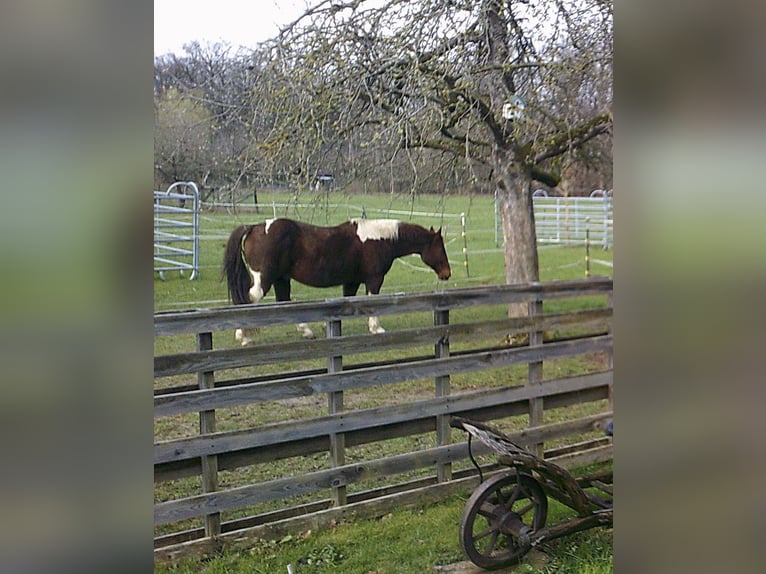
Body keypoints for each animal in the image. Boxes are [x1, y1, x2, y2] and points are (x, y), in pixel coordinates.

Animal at [222, 217, 451, 344]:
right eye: (440, 247)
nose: (447, 273)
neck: (380, 238)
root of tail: (254, 227)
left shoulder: (352, 281)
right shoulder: (374, 279)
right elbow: (372, 303)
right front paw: (376, 328)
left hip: (281, 279)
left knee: (284, 302)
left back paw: (306, 332)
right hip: (264, 280)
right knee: (248, 300)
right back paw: (244, 337)